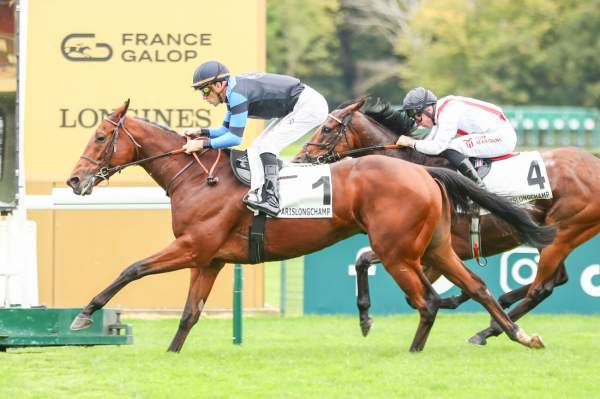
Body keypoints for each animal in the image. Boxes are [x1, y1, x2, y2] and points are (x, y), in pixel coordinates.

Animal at [67, 100, 552, 354]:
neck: (197, 176)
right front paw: (171, 354)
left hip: (398, 252)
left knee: (429, 301)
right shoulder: (210, 259)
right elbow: (189, 313)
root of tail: (424, 172)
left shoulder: (191, 247)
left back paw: (414, 352)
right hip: (435, 247)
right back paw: (519, 335)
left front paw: (85, 314)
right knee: (477, 287)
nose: (74, 180)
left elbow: (132, 269)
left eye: (100, 137)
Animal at [296, 97, 600, 346]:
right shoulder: (427, 251)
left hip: (566, 232)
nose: (300, 158)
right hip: (550, 236)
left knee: (541, 288)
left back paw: (488, 330)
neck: (415, 166)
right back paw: (497, 311)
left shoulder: (417, 247)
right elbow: (370, 266)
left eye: (326, 129)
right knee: (555, 279)